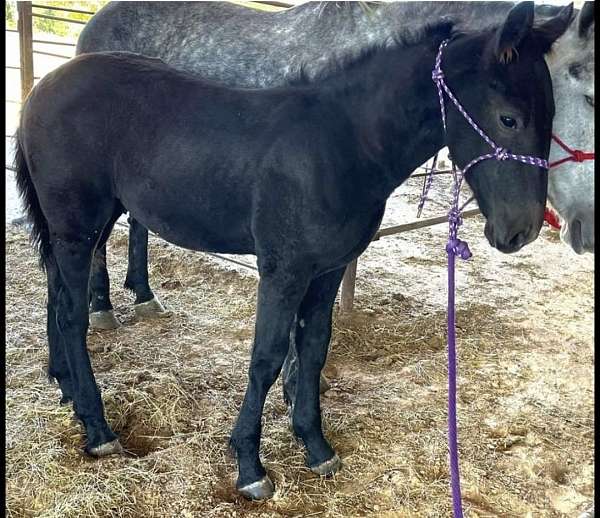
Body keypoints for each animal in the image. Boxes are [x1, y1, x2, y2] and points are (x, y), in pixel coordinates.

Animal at [14, 2, 568, 502]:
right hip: (77, 226)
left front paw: (316, 446)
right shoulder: (284, 272)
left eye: (552, 116)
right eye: (509, 118)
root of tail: (43, 86)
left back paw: (65, 387)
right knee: (71, 315)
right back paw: (98, 428)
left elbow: (314, 348)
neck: (341, 146)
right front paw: (250, 466)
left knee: (54, 295)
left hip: (88, 222)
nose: (522, 230)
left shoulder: (327, 270)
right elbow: (268, 356)